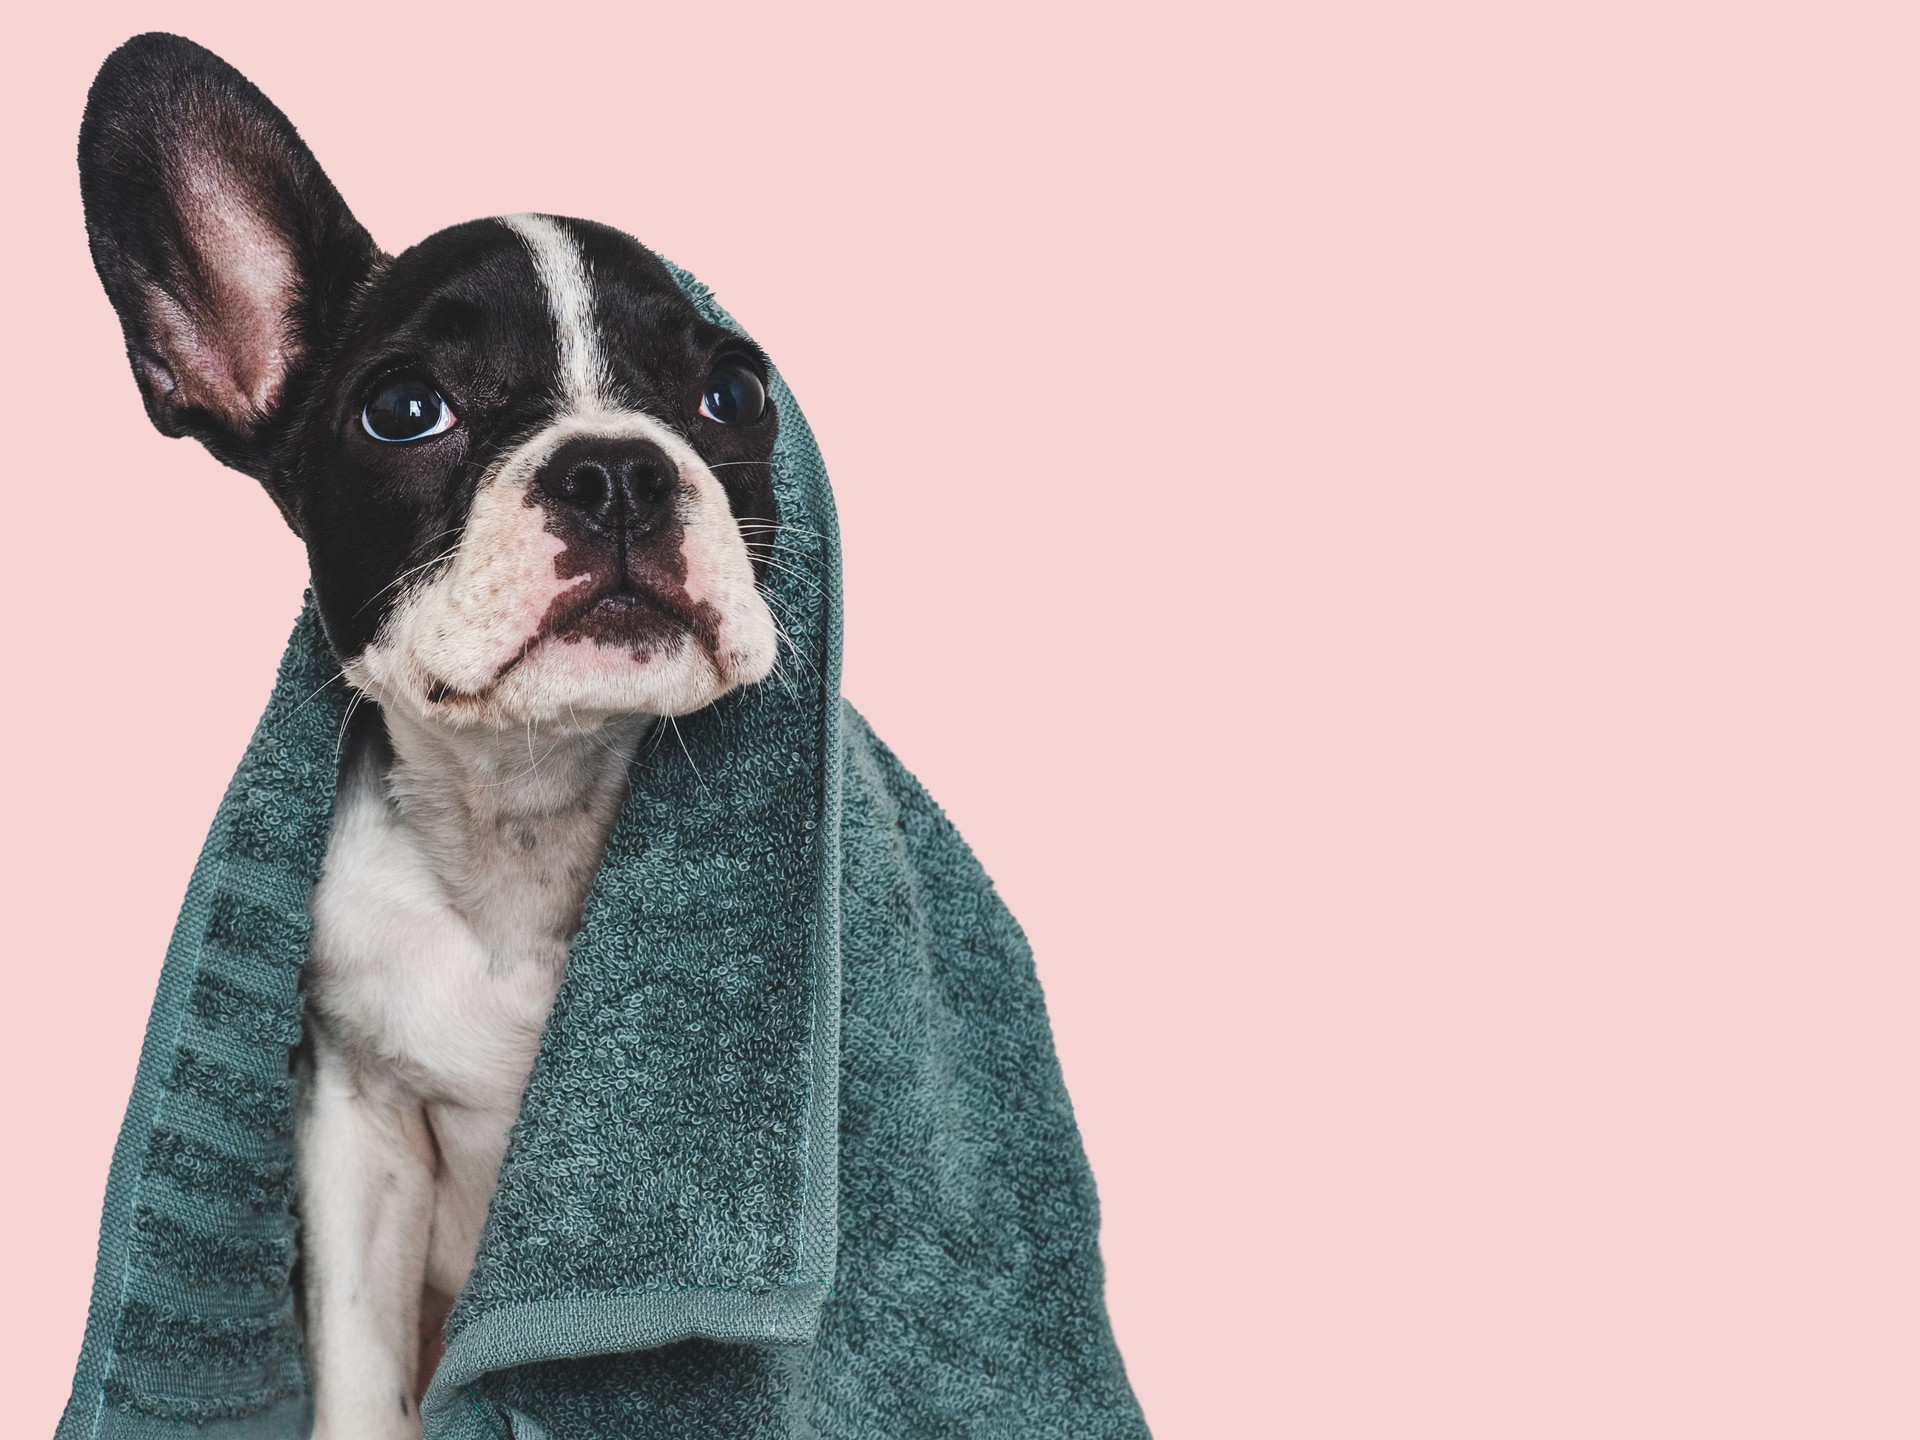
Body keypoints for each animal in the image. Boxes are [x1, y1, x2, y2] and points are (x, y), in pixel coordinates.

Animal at [74, 33, 779, 1440]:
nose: (617, 469)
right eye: (406, 411)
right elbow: (357, 1367)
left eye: (736, 392)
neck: (523, 813)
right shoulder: (357, 1134)